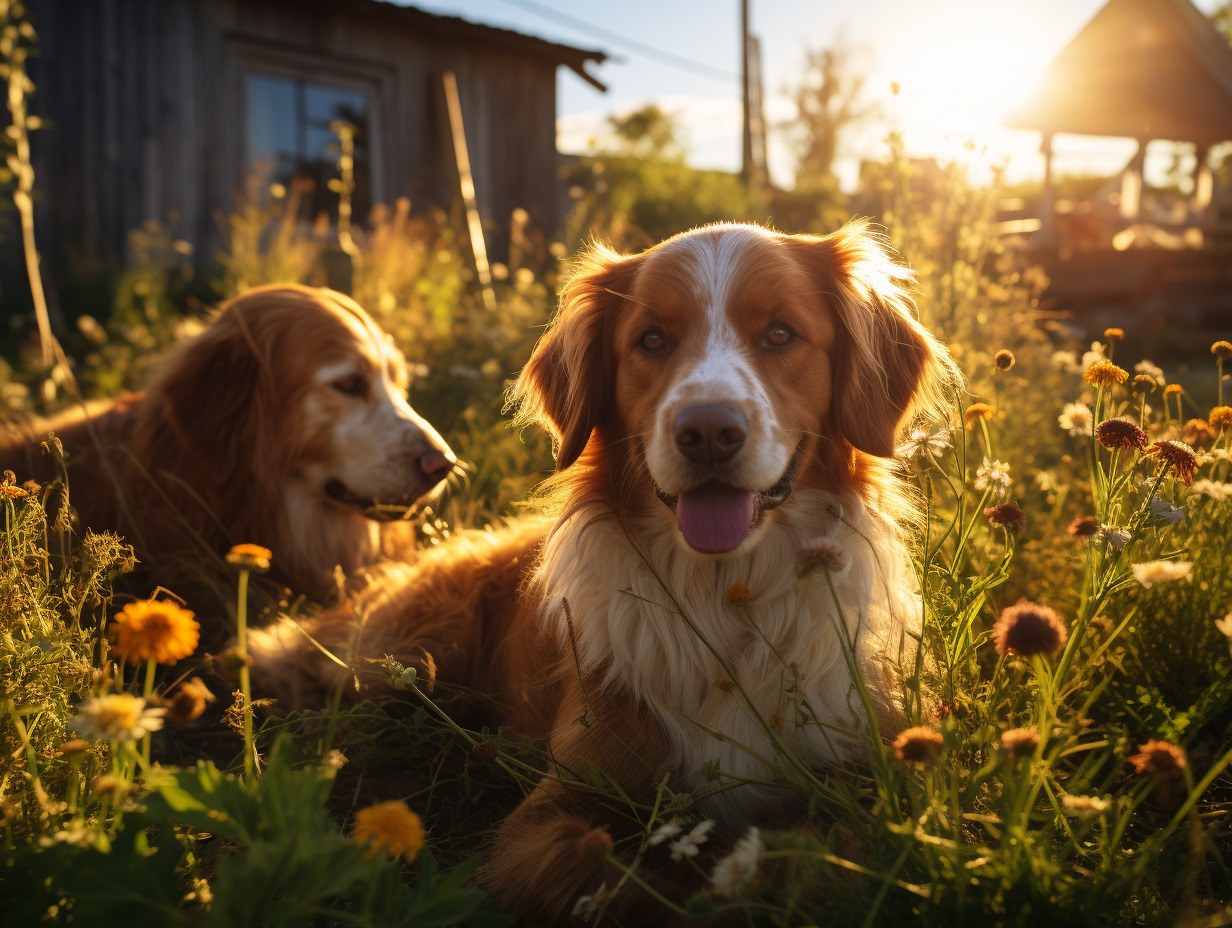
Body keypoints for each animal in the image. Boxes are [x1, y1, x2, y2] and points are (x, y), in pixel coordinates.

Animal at [250, 219, 956, 921]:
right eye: (651, 340)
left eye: (780, 334)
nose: (707, 431)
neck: (726, 593)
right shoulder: (553, 811)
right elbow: (613, 882)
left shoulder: (865, 782)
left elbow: (820, 866)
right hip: (406, 656)